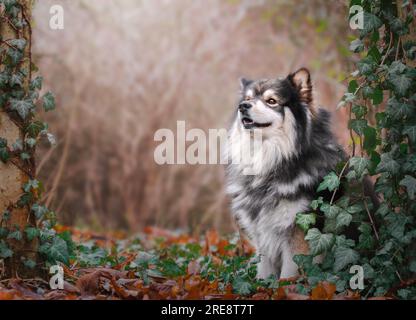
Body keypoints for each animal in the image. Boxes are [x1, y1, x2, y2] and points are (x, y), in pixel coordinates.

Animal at [224, 69, 344, 278]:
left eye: (271, 101)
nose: (243, 106)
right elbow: (264, 272)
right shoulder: (262, 234)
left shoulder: (298, 234)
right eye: (248, 98)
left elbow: (288, 275)